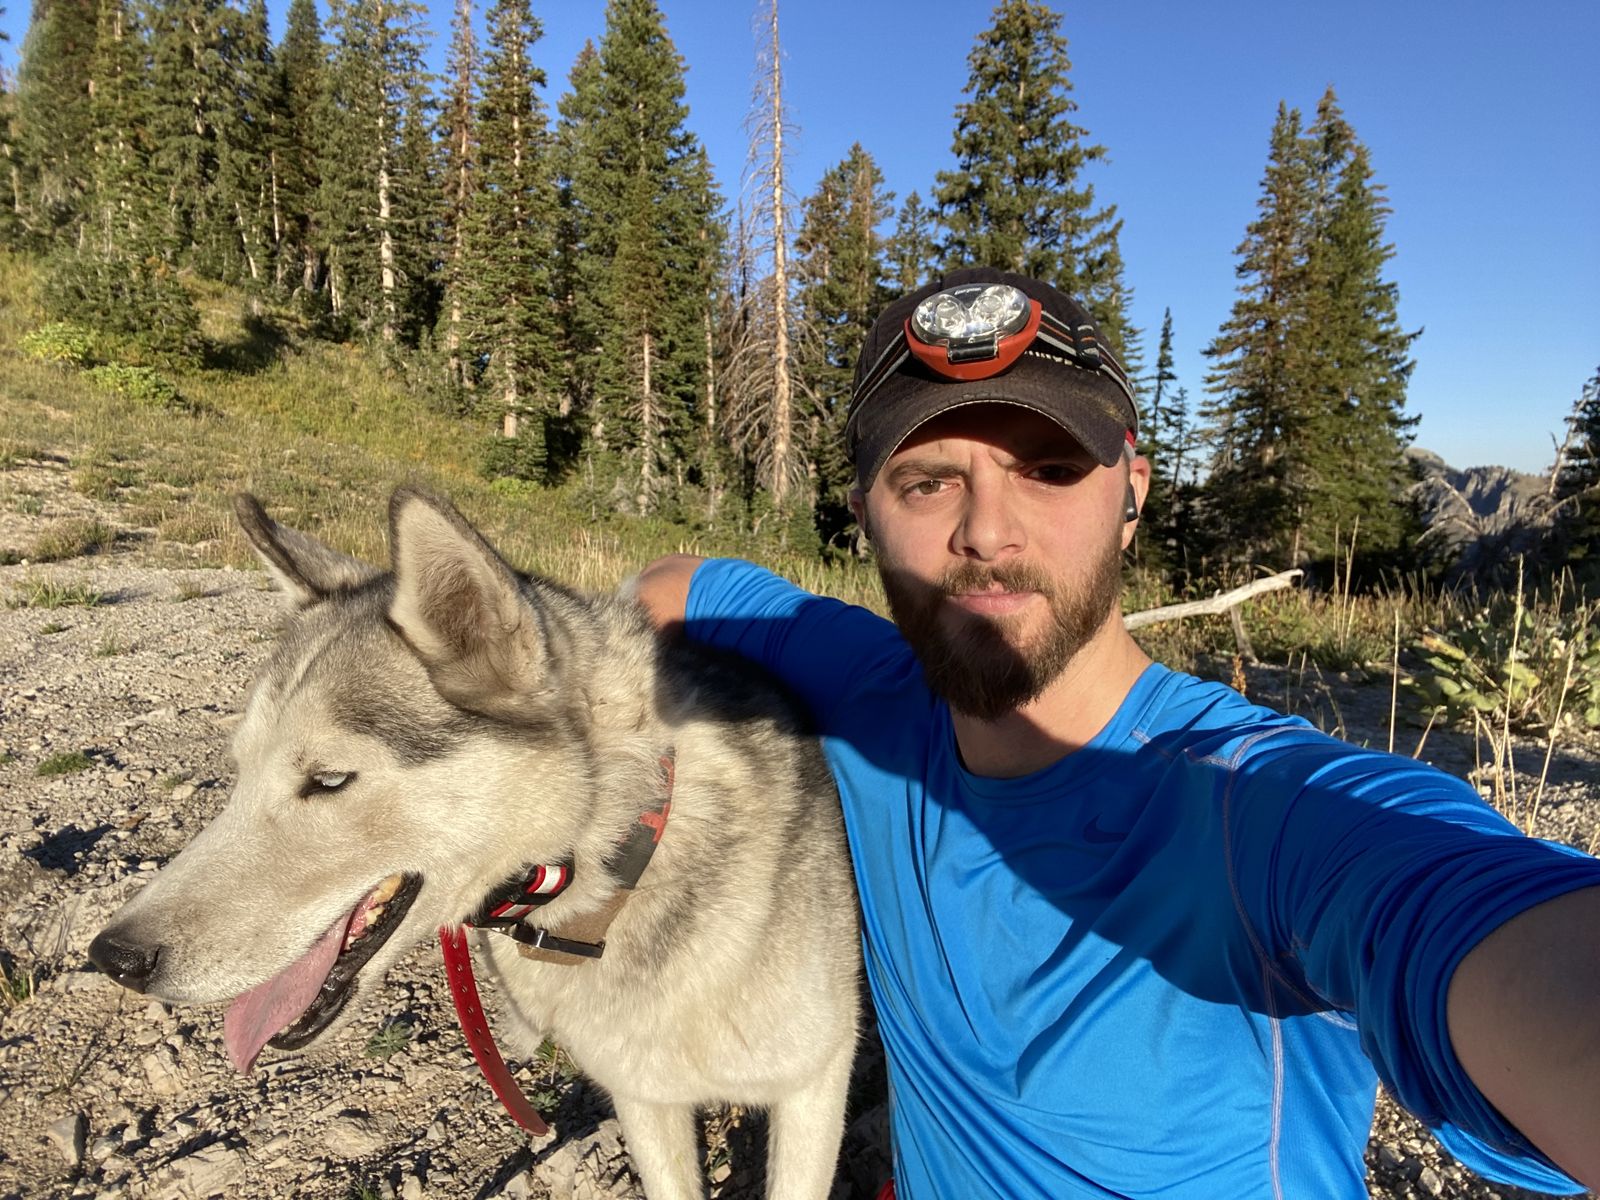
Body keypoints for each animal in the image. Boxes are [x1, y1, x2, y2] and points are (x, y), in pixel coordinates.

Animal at [88, 488, 862, 1200]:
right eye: (241, 770)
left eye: (328, 780)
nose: (114, 958)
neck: (619, 869)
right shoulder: (645, 1097)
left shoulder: (813, 1085)